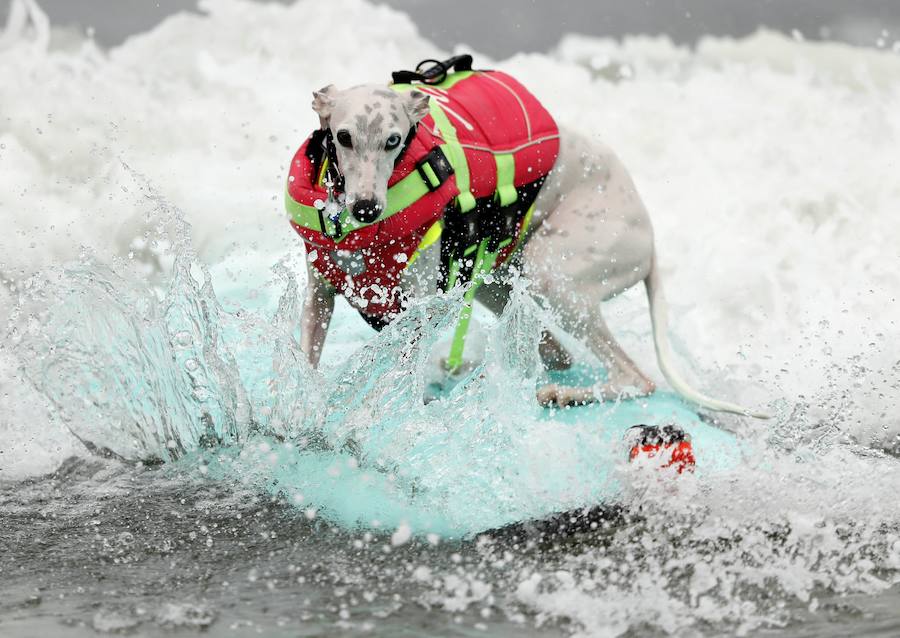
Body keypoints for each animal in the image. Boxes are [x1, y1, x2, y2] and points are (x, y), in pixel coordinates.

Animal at [288, 58, 768, 420]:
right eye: (343, 137)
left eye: (394, 140)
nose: (366, 207)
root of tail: (650, 244)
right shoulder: (320, 296)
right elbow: (306, 362)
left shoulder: (416, 309)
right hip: (499, 281)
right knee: (559, 355)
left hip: (552, 274)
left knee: (635, 378)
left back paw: (560, 394)